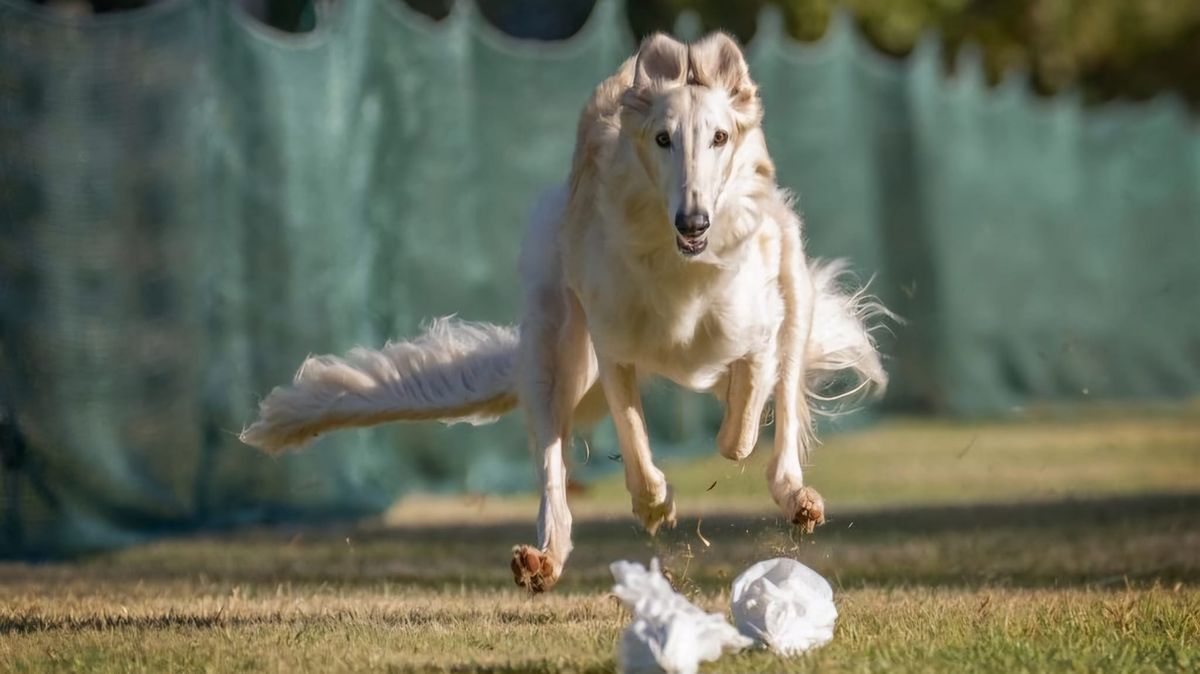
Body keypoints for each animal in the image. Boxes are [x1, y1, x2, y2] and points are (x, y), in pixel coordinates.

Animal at [238, 32, 892, 587]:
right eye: (663, 139)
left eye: (719, 138)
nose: (693, 221)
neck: (679, 268)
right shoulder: (613, 344)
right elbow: (637, 441)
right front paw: (654, 503)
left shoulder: (758, 324)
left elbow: (743, 422)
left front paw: (735, 424)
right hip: (557, 352)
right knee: (553, 470)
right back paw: (544, 557)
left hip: (792, 288)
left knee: (778, 423)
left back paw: (796, 497)